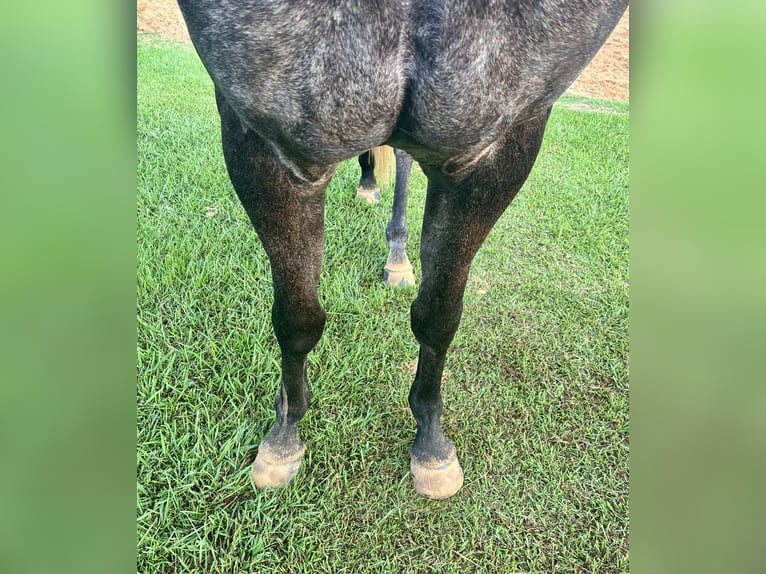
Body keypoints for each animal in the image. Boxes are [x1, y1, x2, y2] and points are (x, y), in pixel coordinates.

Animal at [176, 0, 629, 499]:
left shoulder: (499, 145)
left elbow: (438, 316)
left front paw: (431, 445)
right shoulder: (267, 144)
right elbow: (297, 318)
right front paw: (283, 437)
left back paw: (397, 255)